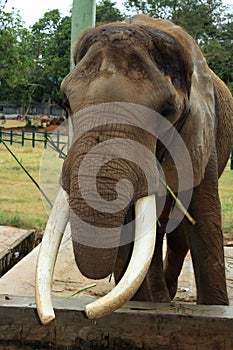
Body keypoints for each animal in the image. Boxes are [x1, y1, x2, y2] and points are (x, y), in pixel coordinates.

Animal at [35, 13, 233, 324]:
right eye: (65, 103)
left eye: (166, 112)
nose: (87, 313)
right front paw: (144, 304)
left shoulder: (202, 135)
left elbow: (204, 220)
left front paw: (214, 308)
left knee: (177, 234)